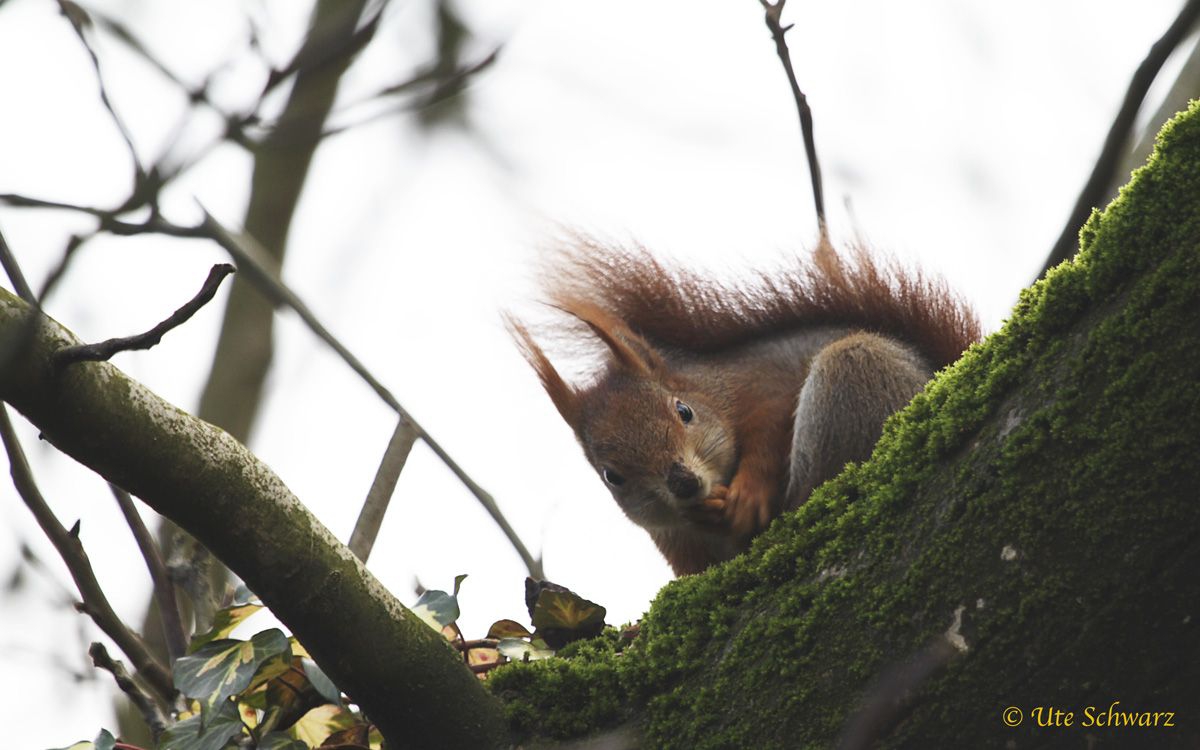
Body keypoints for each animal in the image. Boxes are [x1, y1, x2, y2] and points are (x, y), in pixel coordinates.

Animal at [506, 236, 974, 576]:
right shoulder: (674, 542)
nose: (682, 483)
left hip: (854, 372)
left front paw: (748, 496)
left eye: (684, 412)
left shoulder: (768, 387)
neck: (715, 392)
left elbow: (768, 437)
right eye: (612, 476)